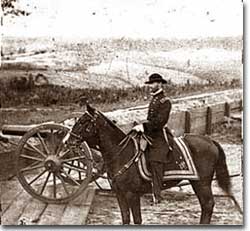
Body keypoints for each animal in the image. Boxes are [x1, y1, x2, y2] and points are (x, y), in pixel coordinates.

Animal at [67, 104, 240, 224]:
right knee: (206, 206)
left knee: (208, 205)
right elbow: (125, 218)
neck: (121, 152)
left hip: (201, 183)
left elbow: (137, 220)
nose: (67, 141)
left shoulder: (132, 194)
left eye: (83, 122)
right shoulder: (119, 194)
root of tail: (210, 140)